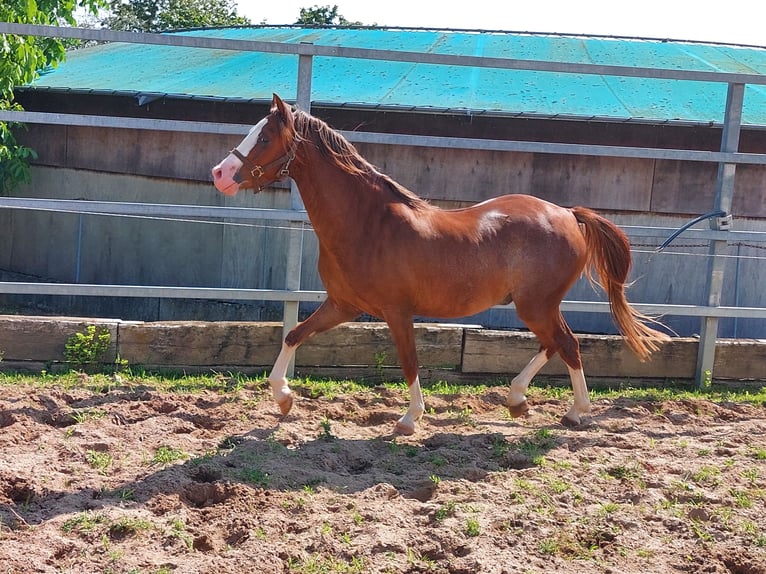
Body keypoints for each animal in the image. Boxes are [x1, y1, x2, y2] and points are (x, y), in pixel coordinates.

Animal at [212, 93, 669, 435]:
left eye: (265, 137)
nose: (219, 173)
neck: (367, 223)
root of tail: (568, 214)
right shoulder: (343, 305)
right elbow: (294, 335)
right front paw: (284, 397)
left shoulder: (397, 311)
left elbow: (409, 361)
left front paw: (409, 419)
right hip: (537, 306)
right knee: (555, 344)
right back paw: (518, 401)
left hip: (536, 304)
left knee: (568, 345)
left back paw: (574, 412)